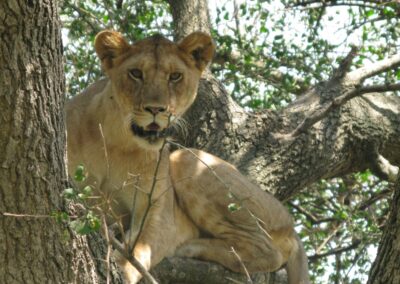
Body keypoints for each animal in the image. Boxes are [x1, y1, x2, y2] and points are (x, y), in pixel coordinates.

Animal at [65, 30, 310, 282]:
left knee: (267, 251)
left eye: (175, 76)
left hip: (186, 159)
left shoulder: (159, 214)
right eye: (135, 73)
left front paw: (119, 270)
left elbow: (136, 253)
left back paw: (191, 247)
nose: (156, 109)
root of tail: (292, 227)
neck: (117, 141)